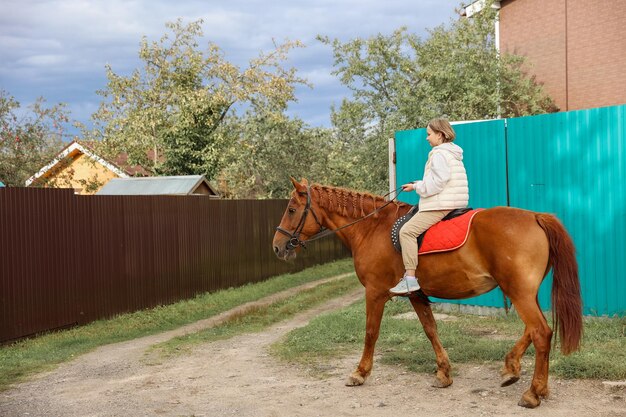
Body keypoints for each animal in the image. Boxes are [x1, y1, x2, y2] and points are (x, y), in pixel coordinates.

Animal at [270, 177, 584, 408]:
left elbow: (371, 333)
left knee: (541, 332)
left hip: (519, 293)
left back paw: (533, 392)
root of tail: (536, 217)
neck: (372, 228)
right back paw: (514, 370)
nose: (277, 247)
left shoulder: (375, 293)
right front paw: (443, 374)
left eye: (291, 209)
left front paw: (359, 373)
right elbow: (431, 330)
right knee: (535, 330)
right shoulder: (416, 295)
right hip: (525, 293)